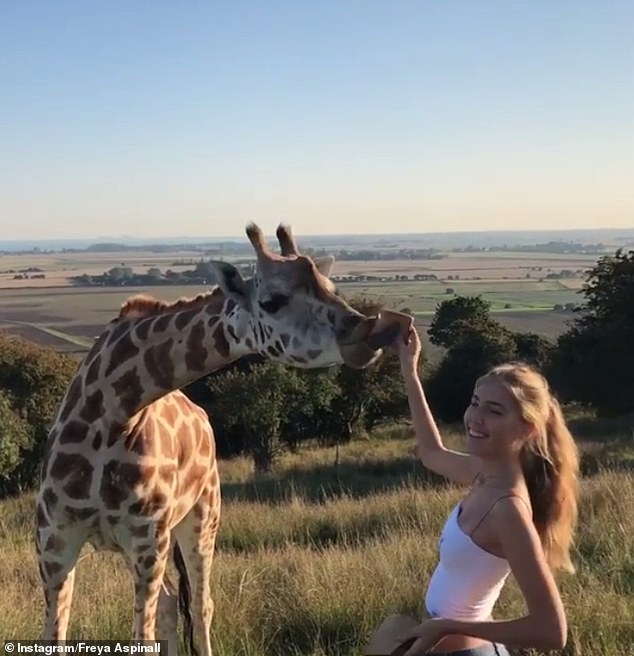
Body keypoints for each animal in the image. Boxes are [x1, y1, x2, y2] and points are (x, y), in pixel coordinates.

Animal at [35, 222, 410, 656]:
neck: (112, 415)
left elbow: (145, 632)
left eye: (331, 286)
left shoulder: (146, 541)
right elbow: (56, 636)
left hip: (202, 518)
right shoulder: (54, 543)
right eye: (271, 301)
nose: (369, 331)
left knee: (200, 605)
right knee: (171, 604)